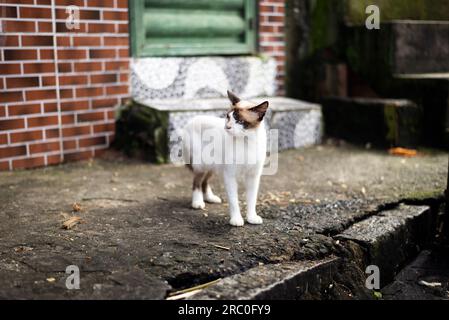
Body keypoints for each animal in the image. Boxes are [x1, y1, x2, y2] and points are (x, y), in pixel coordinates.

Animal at [180, 90, 268, 226]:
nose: (227, 127)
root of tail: (192, 120)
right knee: (197, 182)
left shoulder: (253, 176)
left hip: (213, 166)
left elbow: (252, 198)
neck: (246, 141)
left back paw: (210, 198)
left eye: (239, 121)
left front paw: (251, 217)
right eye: (228, 117)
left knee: (204, 181)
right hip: (202, 164)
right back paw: (198, 202)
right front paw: (236, 219)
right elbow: (233, 200)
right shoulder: (230, 175)